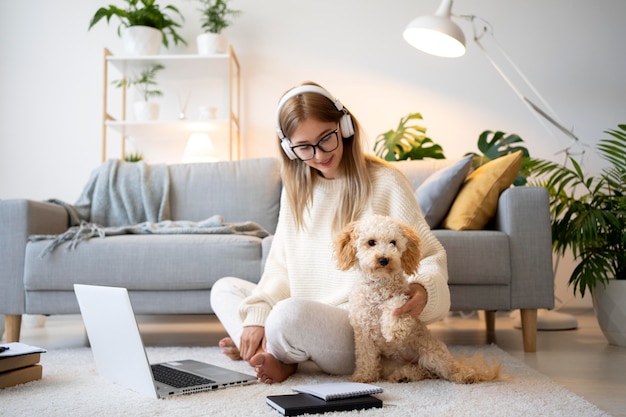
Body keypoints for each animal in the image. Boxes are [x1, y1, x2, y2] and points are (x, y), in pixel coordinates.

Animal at [334, 214, 500, 384]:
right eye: (371, 242)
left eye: (393, 242)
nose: (384, 259)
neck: (380, 286)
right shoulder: (363, 333)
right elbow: (366, 358)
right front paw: (364, 377)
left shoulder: (406, 299)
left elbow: (395, 304)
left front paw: (393, 331)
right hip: (390, 364)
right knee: (422, 371)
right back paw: (403, 376)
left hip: (433, 353)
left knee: (446, 369)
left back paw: (465, 375)